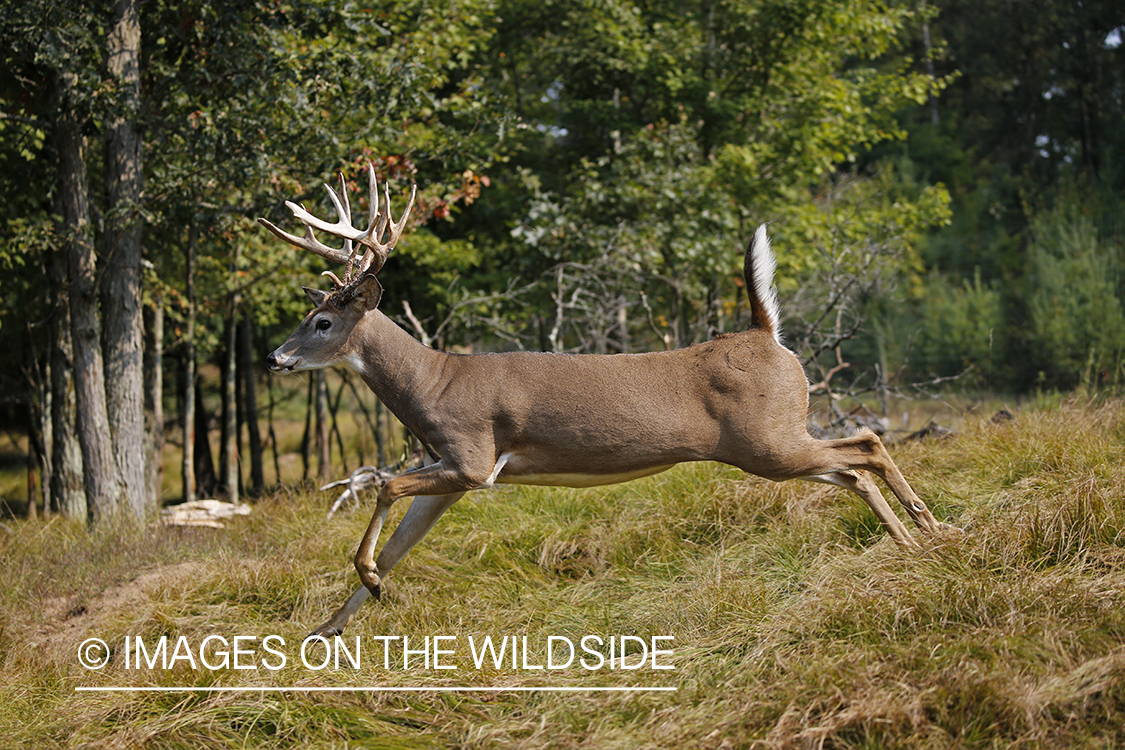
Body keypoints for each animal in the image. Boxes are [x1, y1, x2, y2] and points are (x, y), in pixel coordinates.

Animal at [261, 165, 949, 638]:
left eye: (322, 321)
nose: (274, 358)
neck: (435, 382)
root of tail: (767, 333)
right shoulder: (450, 469)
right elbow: (400, 544)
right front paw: (327, 628)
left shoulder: (474, 459)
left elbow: (382, 486)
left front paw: (365, 582)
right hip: (775, 441)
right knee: (852, 468)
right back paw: (918, 542)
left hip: (767, 440)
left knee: (866, 443)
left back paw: (931, 531)